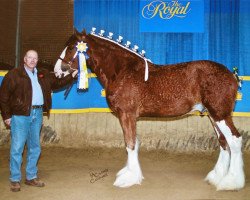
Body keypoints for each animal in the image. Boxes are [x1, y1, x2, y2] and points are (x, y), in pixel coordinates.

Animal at [53, 28, 244, 191]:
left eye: (71, 47)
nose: (57, 71)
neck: (123, 71)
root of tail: (231, 75)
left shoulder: (127, 115)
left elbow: (130, 144)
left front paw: (128, 178)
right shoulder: (130, 117)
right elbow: (133, 143)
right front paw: (130, 173)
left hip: (220, 114)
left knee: (234, 140)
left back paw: (231, 182)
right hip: (214, 115)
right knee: (223, 142)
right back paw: (217, 177)